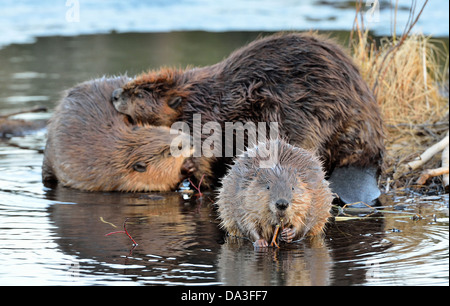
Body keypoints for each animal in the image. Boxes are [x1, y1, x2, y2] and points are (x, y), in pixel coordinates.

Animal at [110, 32, 384, 204]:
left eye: (139, 93)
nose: (114, 95)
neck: (198, 97)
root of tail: (364, 156)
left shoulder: (202, 123)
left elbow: (203, 157)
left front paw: (197, 180)